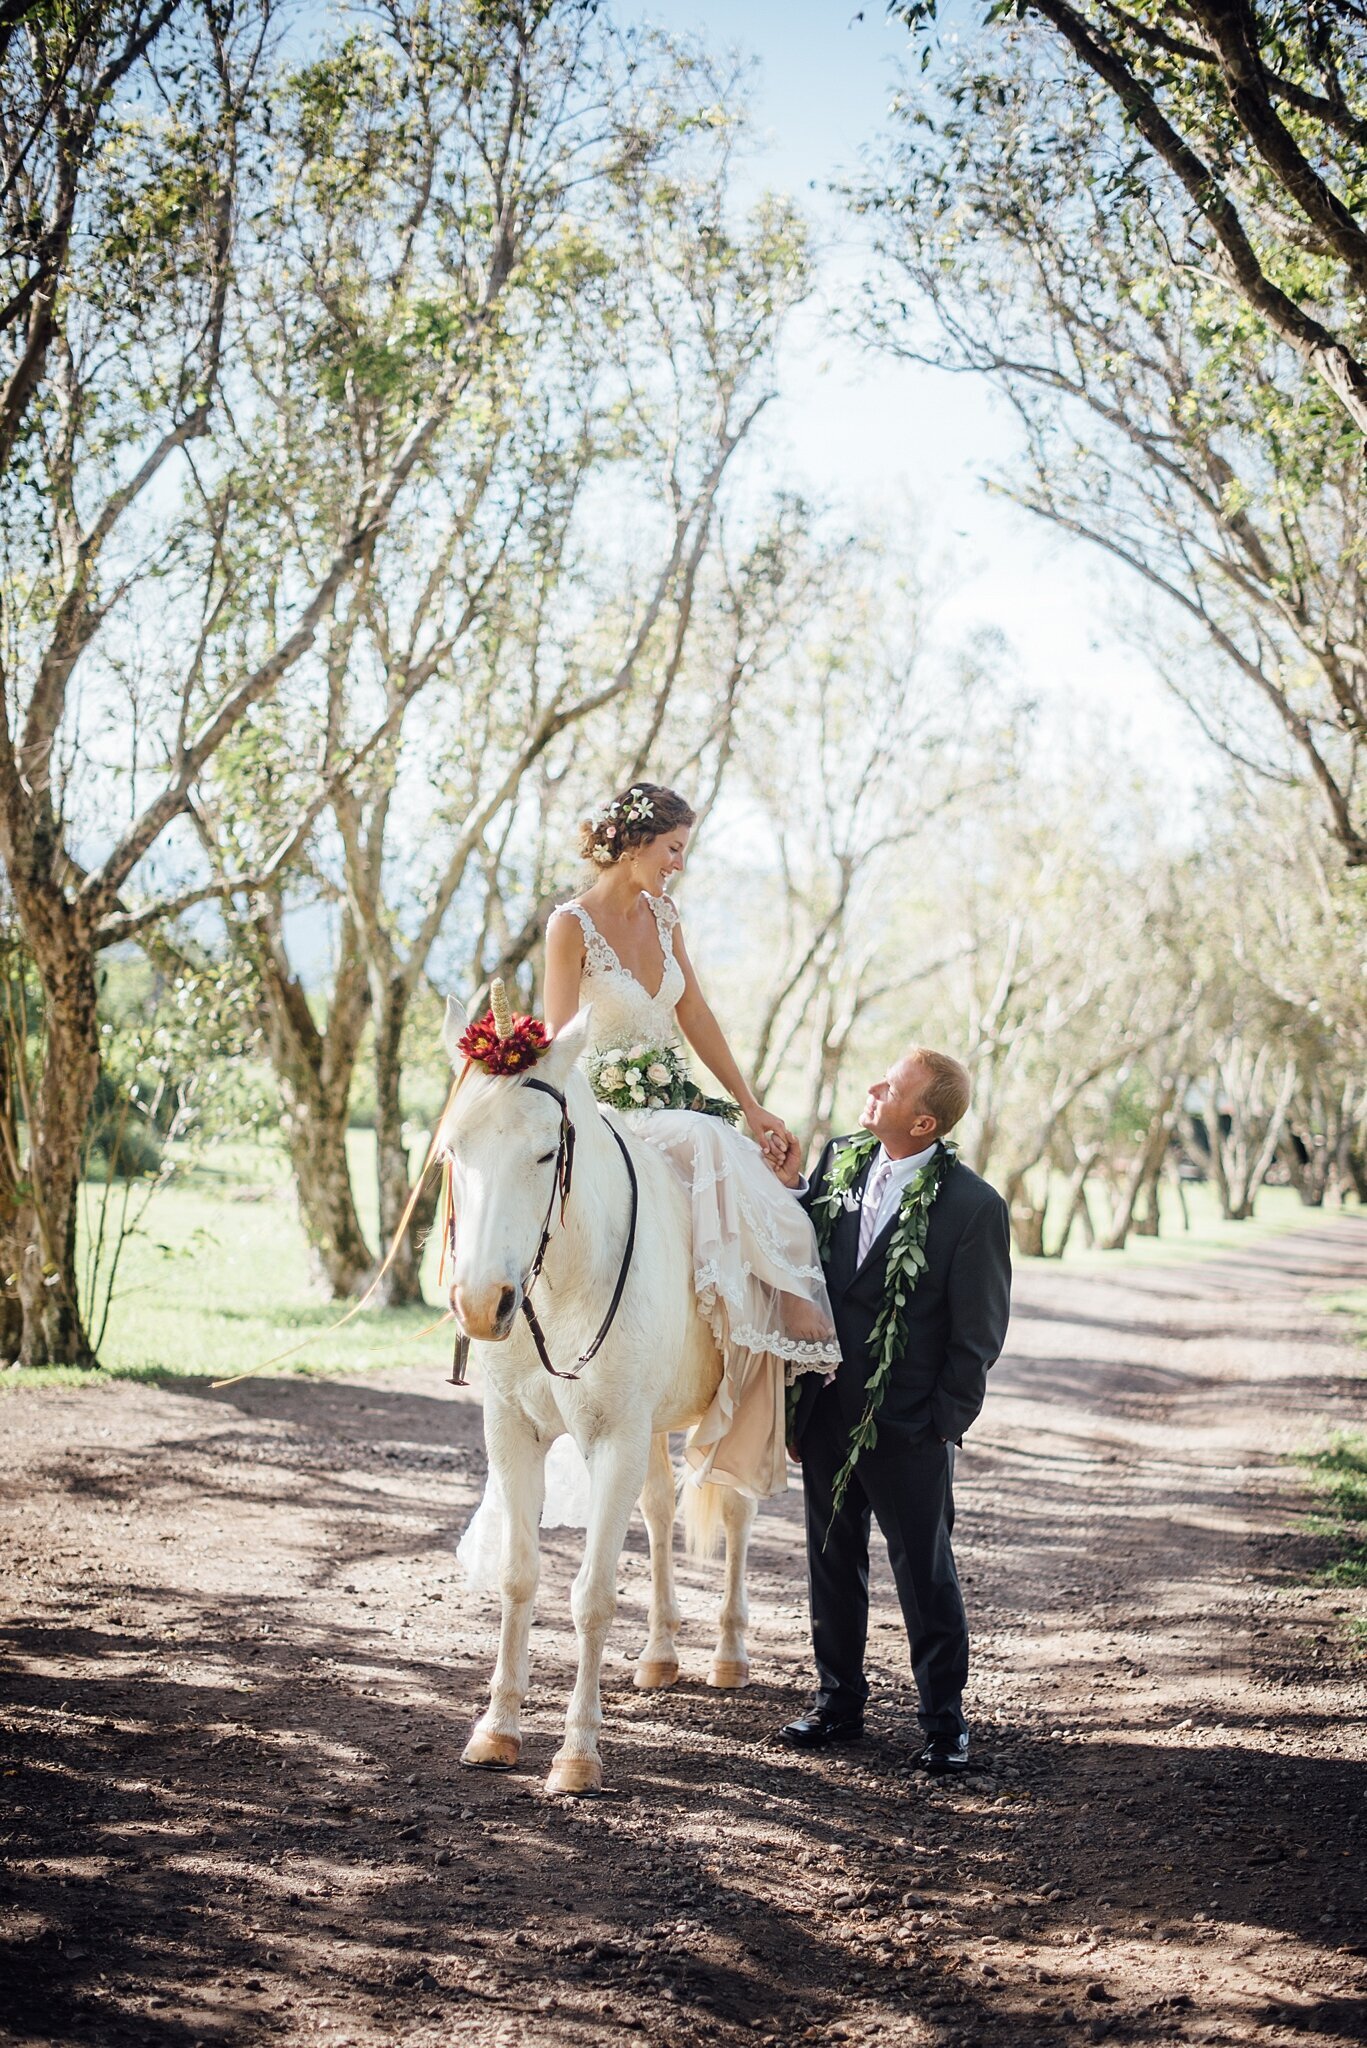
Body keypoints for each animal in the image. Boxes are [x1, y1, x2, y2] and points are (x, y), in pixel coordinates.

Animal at [438, 1003, 758, 1794]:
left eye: (547, 1153)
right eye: (454, 1149)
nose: (480, 1304)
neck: (562, 1281)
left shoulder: (612, 1440)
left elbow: (591, 1595)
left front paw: (578, 1751)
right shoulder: (513, 1435)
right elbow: (520, 1578)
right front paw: (498, 1729)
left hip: (739, 1414)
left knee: (736, 1515)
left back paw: (729, 1655)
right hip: (651, 1429)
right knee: (660, 1509)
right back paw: (660, 1654)